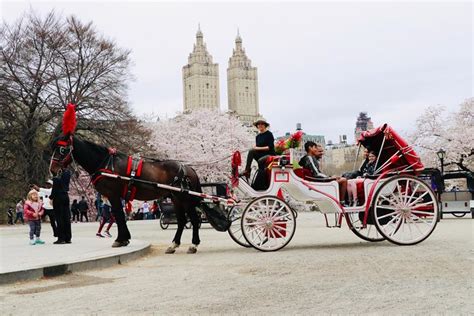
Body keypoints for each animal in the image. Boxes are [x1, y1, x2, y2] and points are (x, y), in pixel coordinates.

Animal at [50, 135, 204, 253]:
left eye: (62, 149)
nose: (53, 169)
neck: (106, 164)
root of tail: (188, 168)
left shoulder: (112, 195)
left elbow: (118, 215)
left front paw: (120, 239)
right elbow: (120, 216)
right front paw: (124, 238)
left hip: (184, 199)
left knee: (194, 219)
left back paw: (193, 244)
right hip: (176, 199)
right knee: (182, 221)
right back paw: (174, 244)